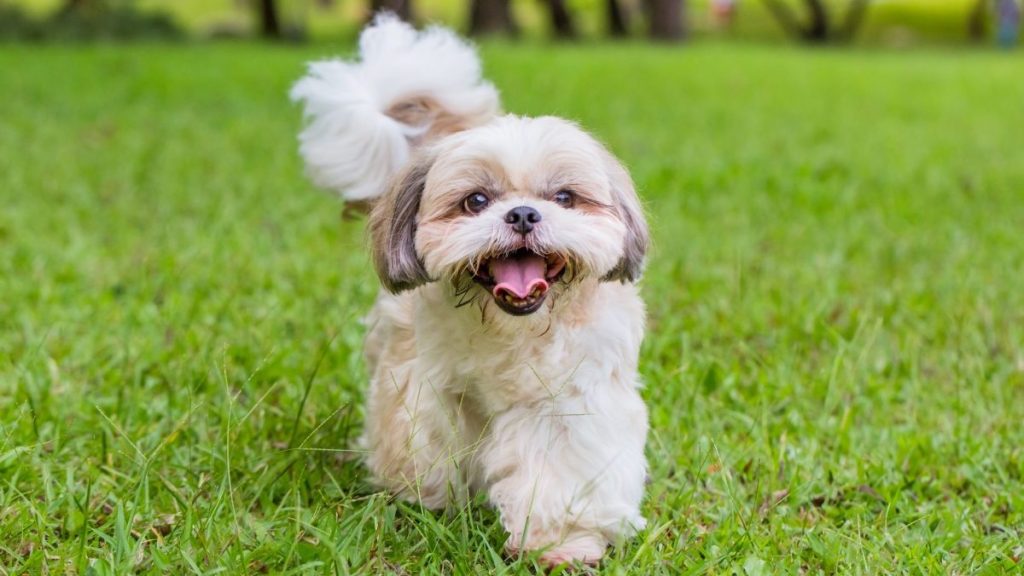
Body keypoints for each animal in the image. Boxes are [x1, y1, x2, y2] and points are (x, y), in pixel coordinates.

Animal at [292, 14, 651, 565]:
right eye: (476, 200)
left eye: (564, 197)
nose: (522, 213)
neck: (514, 330)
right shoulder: (430, 387)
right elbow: (430, 446)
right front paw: (428, 503)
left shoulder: (570, 402)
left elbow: (561, 473)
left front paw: (561, 544)